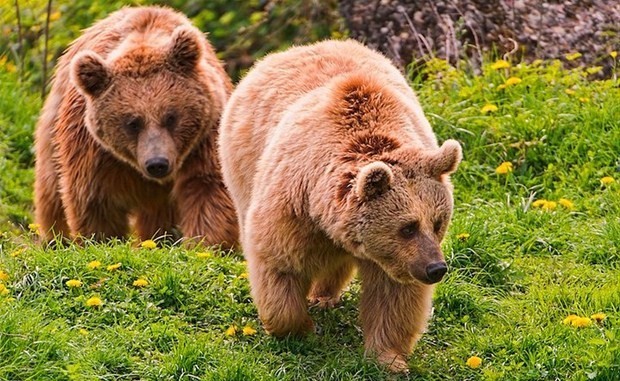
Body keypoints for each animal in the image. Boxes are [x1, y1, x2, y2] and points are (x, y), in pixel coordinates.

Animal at [33, 7, 240, 248]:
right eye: (132, 123)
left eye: (171, 117)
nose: (157, 163)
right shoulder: (94, 150)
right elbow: (95, 198)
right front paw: (103, 239)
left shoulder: (205, 138)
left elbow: (208, 188)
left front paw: (205, 245)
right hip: (54, 124)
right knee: (50, 186)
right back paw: (55, 238)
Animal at [218, 39, 460, 372]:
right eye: (407, 227)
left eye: (437, 223)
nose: (435, 268)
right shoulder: (293, 206)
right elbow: (279, 262)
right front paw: (298, 328)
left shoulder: (393, 259)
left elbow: (394, 296)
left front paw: (389, 358)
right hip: (242, 164)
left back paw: (325, 294)